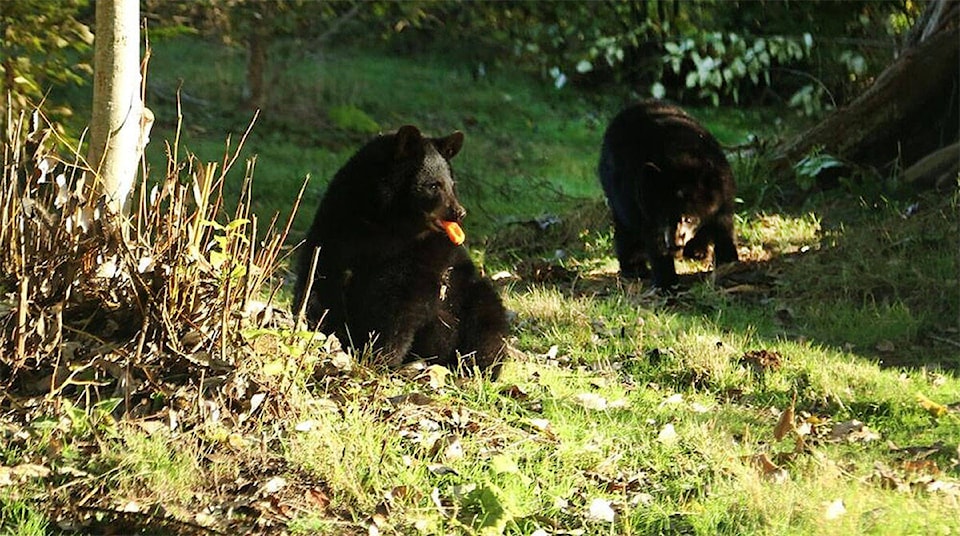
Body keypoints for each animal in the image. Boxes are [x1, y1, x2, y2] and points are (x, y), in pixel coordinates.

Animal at [294, 124, 510, 378]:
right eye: (434, 185)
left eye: (452, 185)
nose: (459, 212)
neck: (385, 223)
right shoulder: (335, 227)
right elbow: (320, 277)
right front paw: (316, 329)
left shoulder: (421, 254)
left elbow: (399, 303)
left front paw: (379, 357)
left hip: (471, 297)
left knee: (486, 326)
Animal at [596, 98, 740, 286]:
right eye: (664, 218)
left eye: (689, 218)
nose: (674, 244)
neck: (679, 160)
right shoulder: (644, 202)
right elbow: (654, 240)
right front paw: (666, 281)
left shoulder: (722, 191)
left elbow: (723, 225)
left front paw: (729, 260)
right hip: (617, 192)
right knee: (625, 227)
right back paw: (634, 267)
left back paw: (698, 250)